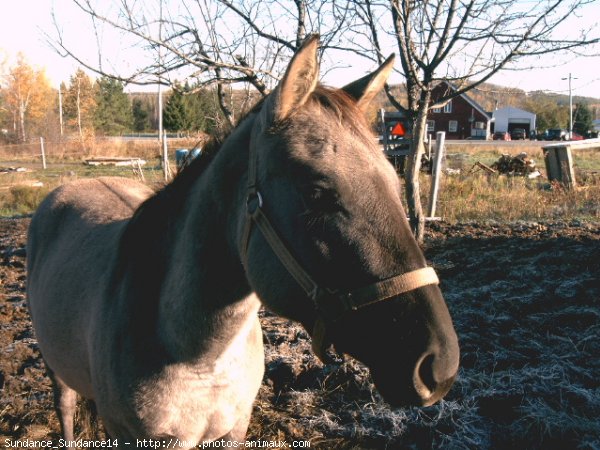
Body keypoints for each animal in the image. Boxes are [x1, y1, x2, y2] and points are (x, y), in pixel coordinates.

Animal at [25, 36, 460, 446]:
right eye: (317, 193)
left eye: (394, 181)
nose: (439, 365)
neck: (200, 357)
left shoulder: (235, 429)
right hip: (55, 370)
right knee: (66, 410)